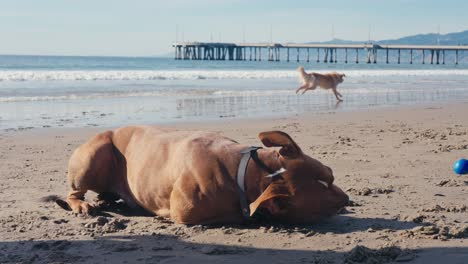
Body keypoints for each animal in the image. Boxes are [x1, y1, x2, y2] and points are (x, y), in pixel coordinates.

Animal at [55, 127, 348, 224]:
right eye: (328, 182)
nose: (348, 200)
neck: (248, 173)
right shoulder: (184, 212)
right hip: (94, 155)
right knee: (73, 191)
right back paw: (84, 204)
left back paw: (107, 199)